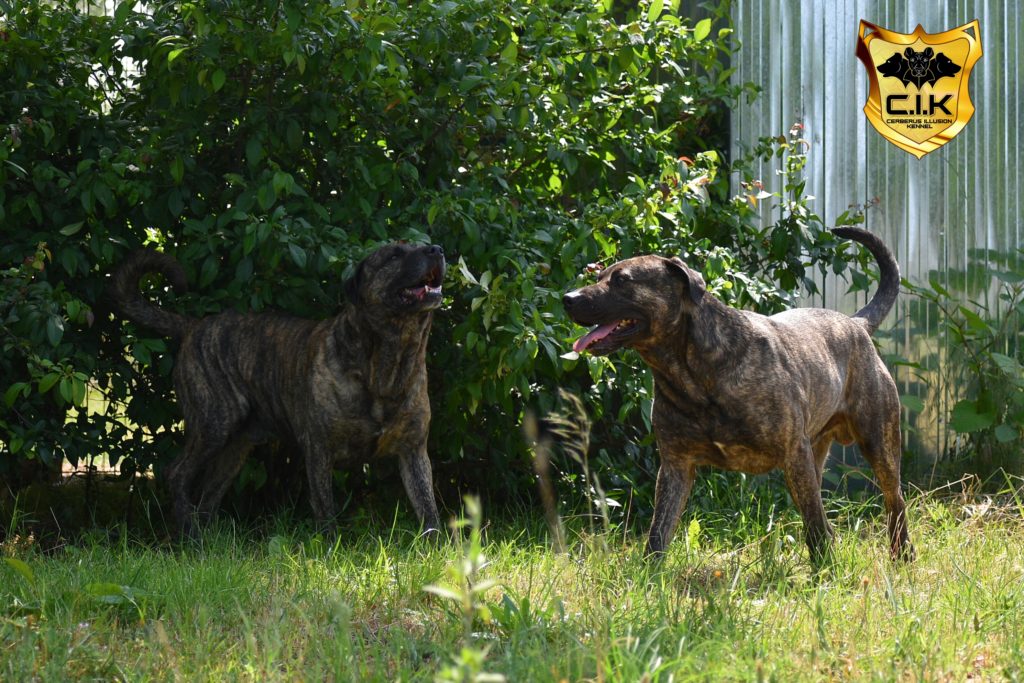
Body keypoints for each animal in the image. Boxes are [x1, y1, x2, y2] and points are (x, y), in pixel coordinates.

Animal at [108, 242, 444, 536]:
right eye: (394, 254)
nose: (436, 249)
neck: (389, 365)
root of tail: (193, 326)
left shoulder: (414, 451)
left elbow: (428, 508)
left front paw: (437, 550)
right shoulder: (319, 449)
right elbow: (325, 508)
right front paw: (332, 546)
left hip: (235, 448)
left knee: (209, 492)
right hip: (214, 423)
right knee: (177, 474)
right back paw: (191, 535)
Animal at [569, 227, 913, 565]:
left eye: (622, 280)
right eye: (600, 275)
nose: (568, 298)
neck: (691, 373)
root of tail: (856, 324)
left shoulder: (793, 454)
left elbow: (814, 523)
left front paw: (824, 572)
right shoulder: (675, 467)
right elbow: (658, 533)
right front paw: (650, 575)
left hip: (878, 444)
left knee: (893, 501)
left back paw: (902, 556)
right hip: (814, 458)